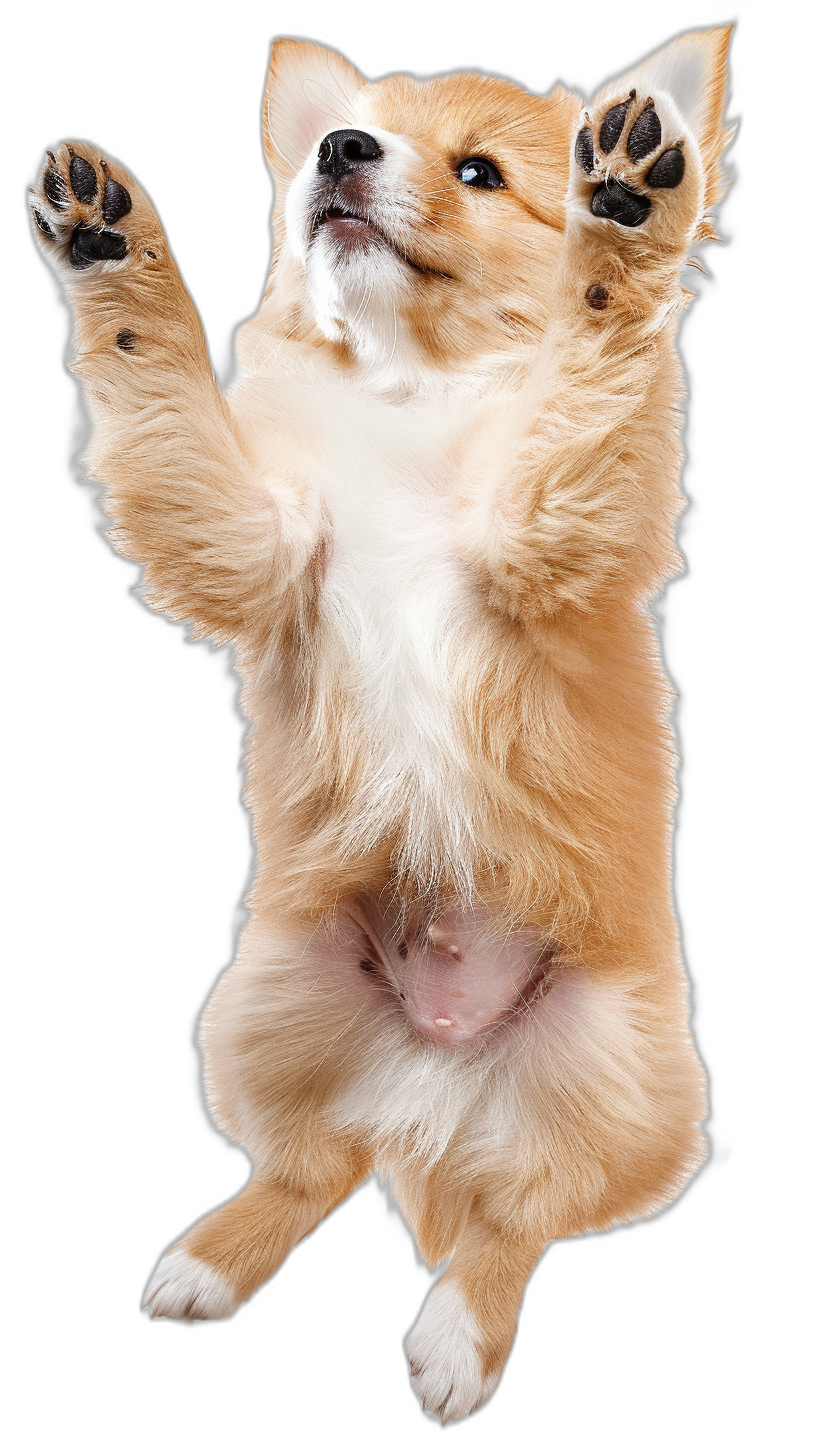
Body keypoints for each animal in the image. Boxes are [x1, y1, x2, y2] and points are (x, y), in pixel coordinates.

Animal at [30, 28, 734, 1426]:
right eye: (335, 139)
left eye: (479, 173)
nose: (339, 150)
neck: (416, 393)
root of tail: (438, 1096)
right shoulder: (255, 543)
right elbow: (163, 389)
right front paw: (112, 244)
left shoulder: (542, 529)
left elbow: (588, 364)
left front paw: (624, 215)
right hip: (263, 999)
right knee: (313, 1164)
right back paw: (209, 1261)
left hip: (623, 1068)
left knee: (523, 1211)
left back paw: (459, 1337)